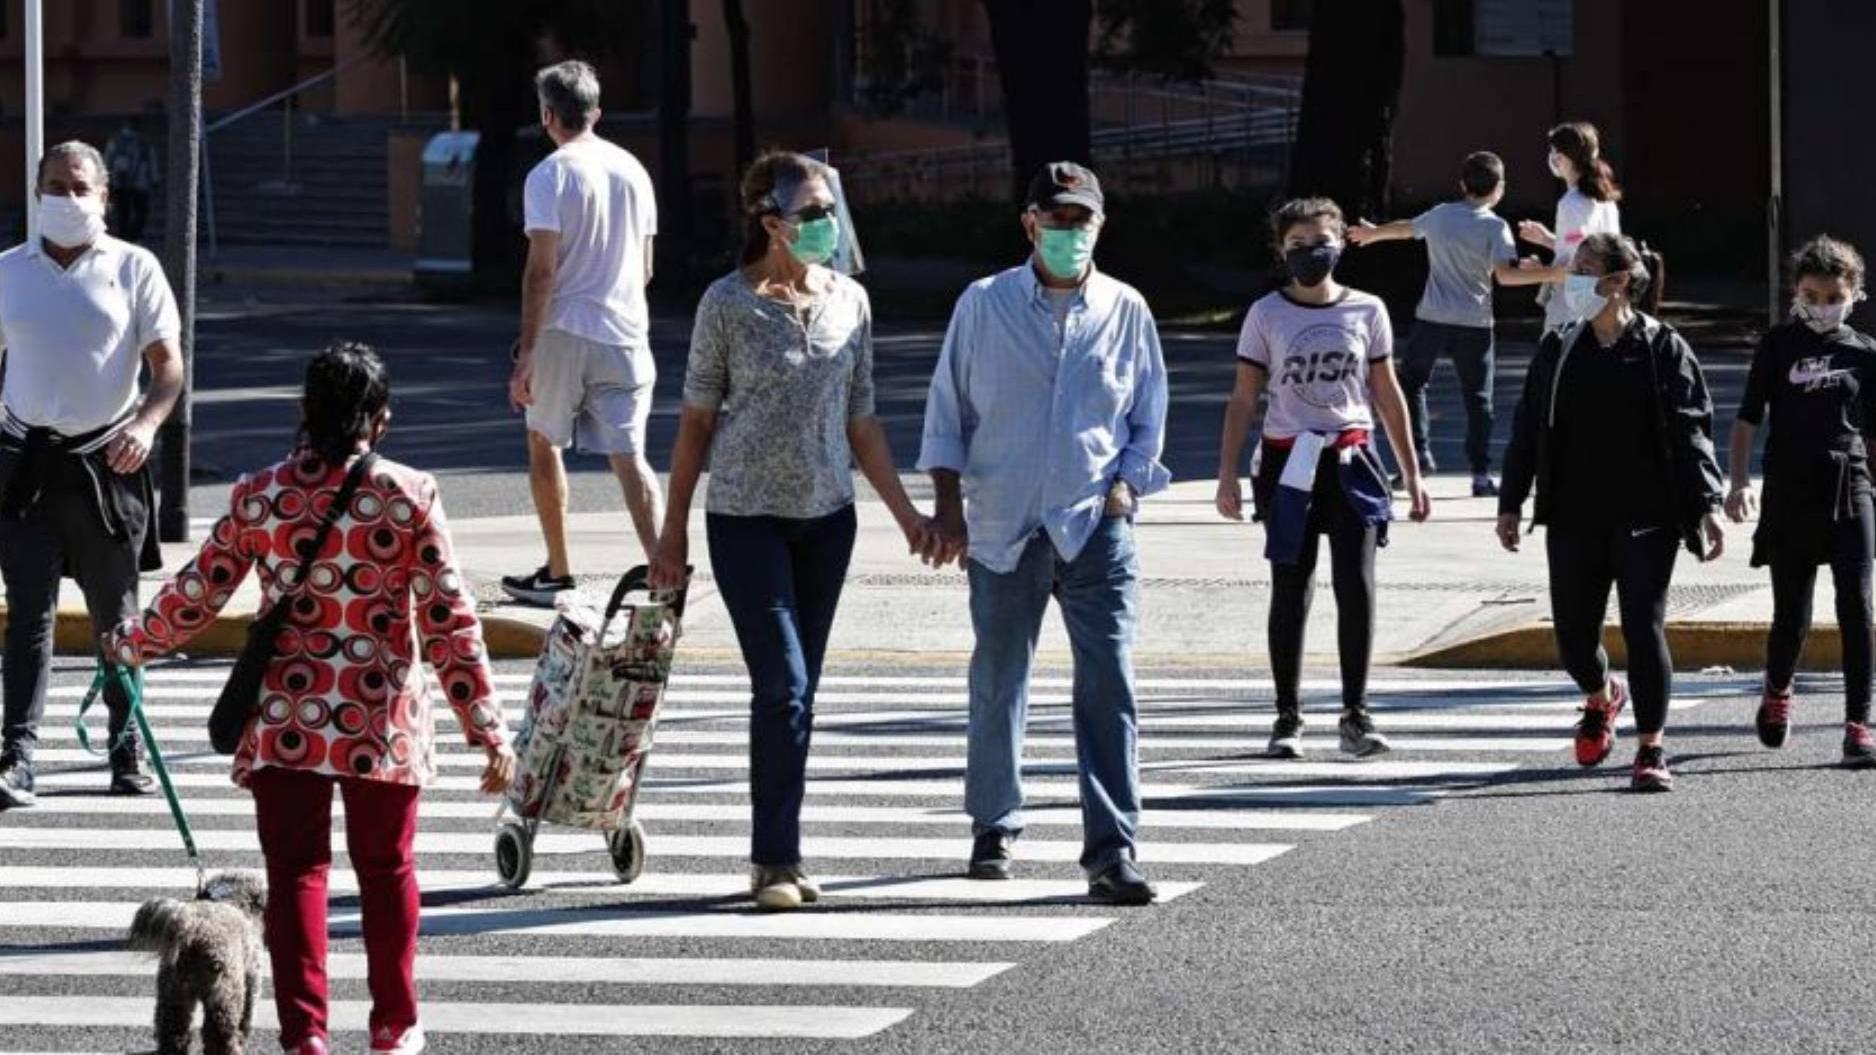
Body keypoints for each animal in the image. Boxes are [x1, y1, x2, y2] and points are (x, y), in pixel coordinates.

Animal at [126, 871, 268, 1051]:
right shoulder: (251, 977)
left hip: (174, 990)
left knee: (173, 1030)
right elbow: (248, 1012)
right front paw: (243, 1037)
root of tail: (192, 930)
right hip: (224, 991)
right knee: (220, 1033)